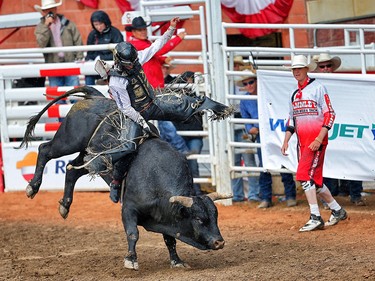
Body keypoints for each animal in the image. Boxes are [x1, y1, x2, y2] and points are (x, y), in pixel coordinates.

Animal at [19, 86, 234, 270]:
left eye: (215, 216)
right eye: (198, 219)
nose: (220, 242)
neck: (157, 181)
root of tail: (95, 96)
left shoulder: (166, 216)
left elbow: (169, 240)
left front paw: (177, 261)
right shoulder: (129, 209)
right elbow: (133, 234)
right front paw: (131, 259)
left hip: (91, 157)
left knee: (72, 169)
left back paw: (65, 205)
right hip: (68, 140)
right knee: (44, 150)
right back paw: (33, 187)